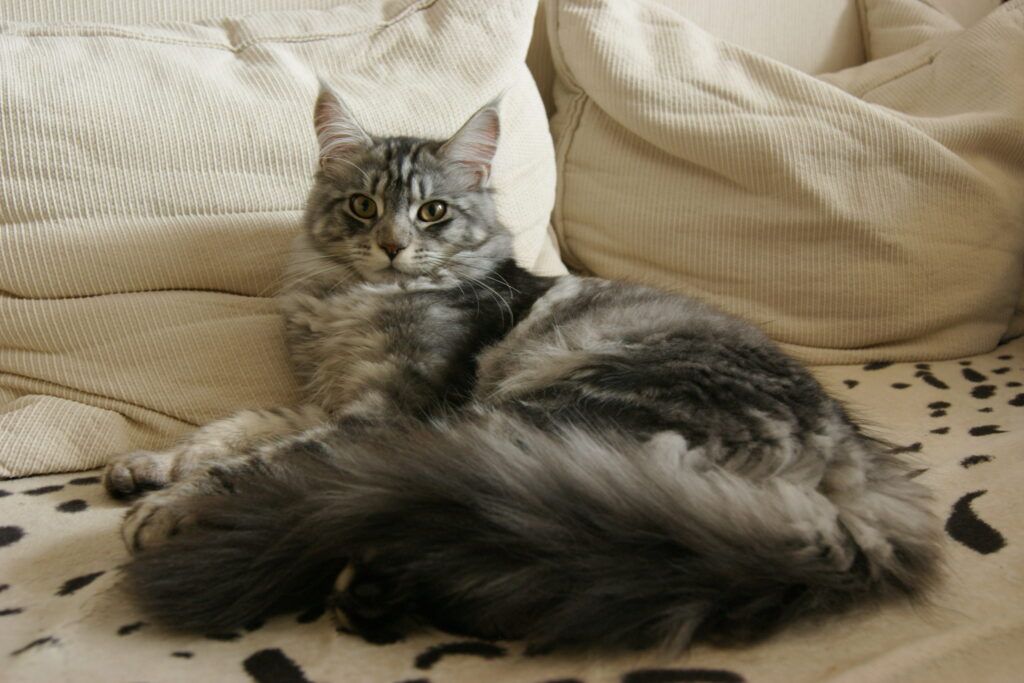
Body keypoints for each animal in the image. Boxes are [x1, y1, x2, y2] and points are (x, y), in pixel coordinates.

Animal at [99, 80, 937, 651]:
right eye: (363, 208)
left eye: (432, 212)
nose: (393, 246)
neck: (355, 298)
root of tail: (858, 481)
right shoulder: (325, 399)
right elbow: (229, 427)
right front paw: (148, 465)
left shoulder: (387, 409)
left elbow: (260, 458)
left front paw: (169, 507)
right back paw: (372, 592)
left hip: (524, 418)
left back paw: (364, 580)